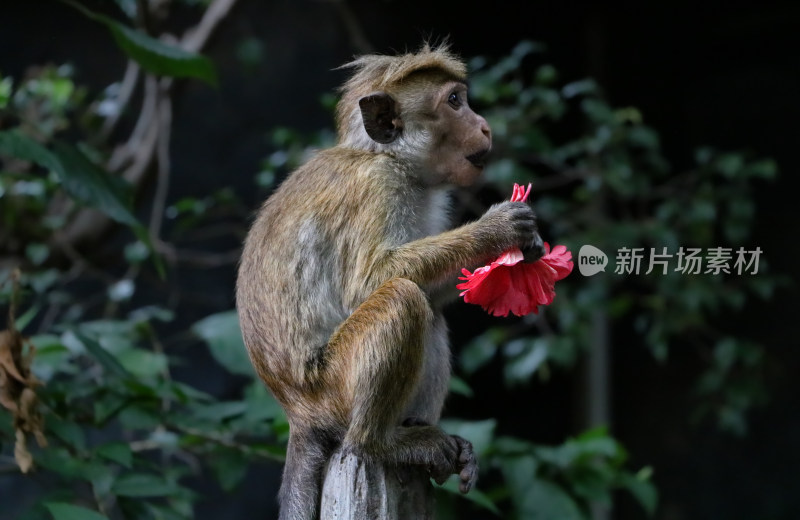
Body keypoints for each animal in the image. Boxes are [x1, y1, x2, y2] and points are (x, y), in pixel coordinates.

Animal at [234, 42, 540, 516]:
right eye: (455, 102)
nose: (484, 125)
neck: (388, 157)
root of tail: (297, 412)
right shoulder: (377, 186)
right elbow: (373, 278)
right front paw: (496, 232)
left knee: (427, 310)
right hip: (332, 389)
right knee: (402, 298)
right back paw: (379, 444)